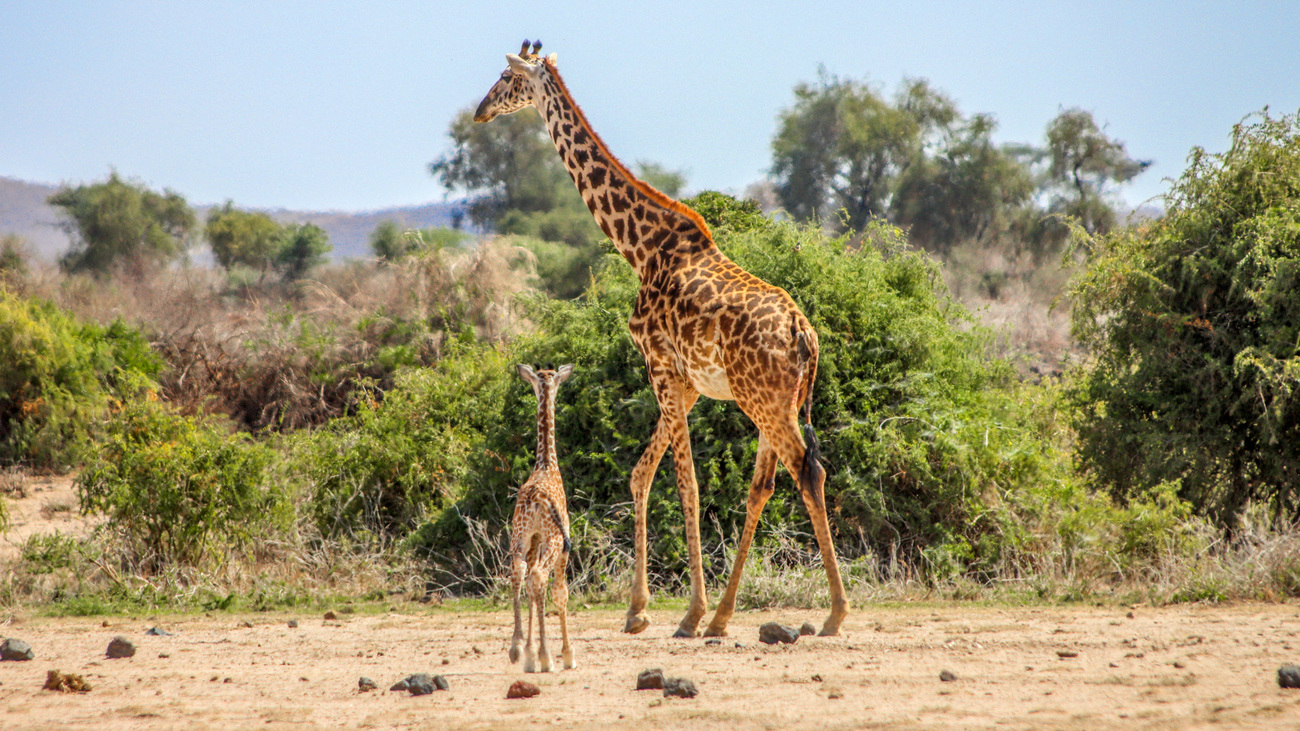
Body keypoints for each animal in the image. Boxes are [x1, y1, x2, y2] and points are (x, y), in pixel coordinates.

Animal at [473, 39, 847, 634]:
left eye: (507, 78)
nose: (480, 111)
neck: (641, 247)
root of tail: (804, 334)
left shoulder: (660, 364)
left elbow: (685, 483)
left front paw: (684, 611)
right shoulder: (688, 381)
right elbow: (641, 474)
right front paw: (640, 609)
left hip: (762, 401)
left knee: (808, 472)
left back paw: (832, 612)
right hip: (773, 401)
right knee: (764, 485)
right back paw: (724, 617)